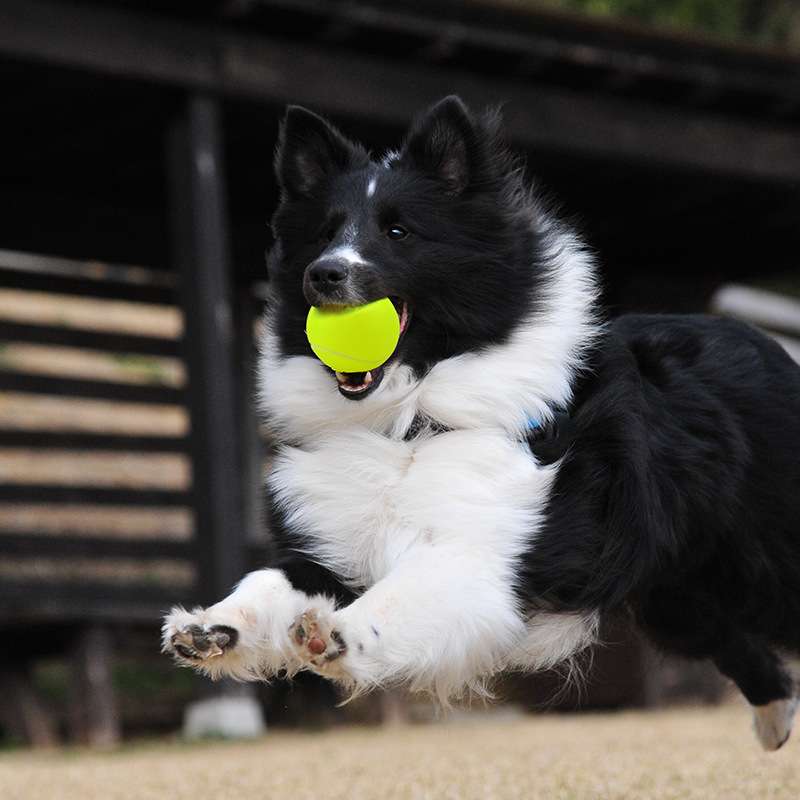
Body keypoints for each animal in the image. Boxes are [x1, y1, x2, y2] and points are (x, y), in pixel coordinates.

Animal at [162, 95, 800, 752]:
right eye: (324, 232)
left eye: (398, 231)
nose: (323, 273)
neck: (409, 423)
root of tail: (770, 343)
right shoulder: (338, 547)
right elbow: (270, 579)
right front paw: (211, 629)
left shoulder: (479, 555)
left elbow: (398, 598)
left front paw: (335, 635)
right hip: (682, 594)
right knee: (739, 644)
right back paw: (775, 720)